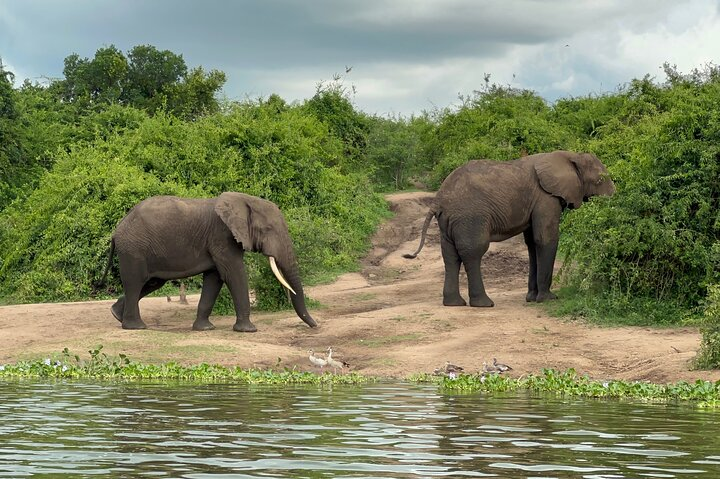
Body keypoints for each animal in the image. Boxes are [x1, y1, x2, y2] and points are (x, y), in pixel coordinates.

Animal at [98, 192, 317, 332]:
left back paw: (116, 315)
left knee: (151, 282)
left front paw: (205, 329)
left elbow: (215, 278)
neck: (244, 200)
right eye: (268, 229)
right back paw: (136, 326)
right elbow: (234, 273)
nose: (316, 326)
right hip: (134, 250)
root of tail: (116, 231)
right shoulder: (222, 237)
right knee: (136, 282)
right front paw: (248, 330)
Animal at [404, 150, 615, 307]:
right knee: (473, 252)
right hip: (470, 217)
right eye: (599, 181)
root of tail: (438, 200)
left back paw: (454, 303)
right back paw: (484, 304)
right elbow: (545, 239)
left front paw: (531, 299)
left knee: (450, 255)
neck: (571, 155)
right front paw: (547, 299)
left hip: (448, 222)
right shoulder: (546, 198)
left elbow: (532, 244)